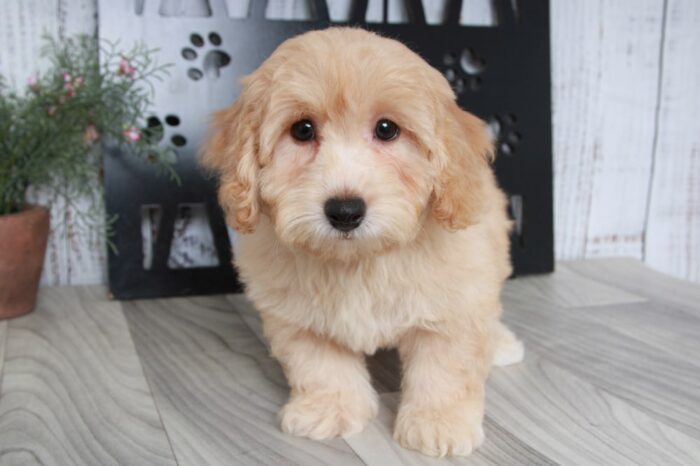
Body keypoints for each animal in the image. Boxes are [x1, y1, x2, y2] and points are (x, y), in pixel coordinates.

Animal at [200, 27, 524, 456]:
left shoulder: (454, 303)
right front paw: (329, 409)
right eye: (302, 130)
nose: (345, 211)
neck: (361, 259)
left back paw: (500, 343)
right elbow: (319, 363)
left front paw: (439, 423)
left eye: (387, 129)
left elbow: (446, 365)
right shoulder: (297, 314)